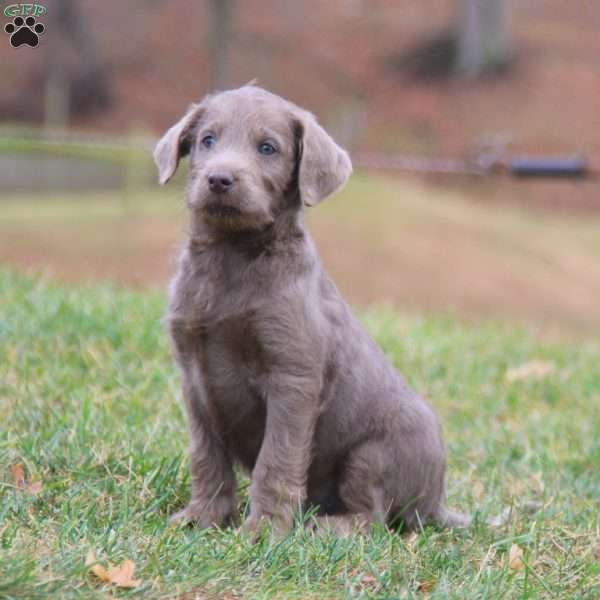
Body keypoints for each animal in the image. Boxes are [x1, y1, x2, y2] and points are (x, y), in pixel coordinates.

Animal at [152, 83, 472, 536]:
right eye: (207, 140)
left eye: (268, 148)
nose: (219, 178)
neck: (232, 256)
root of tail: (436, 502)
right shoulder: (194, 375)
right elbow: (206, 455)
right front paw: (203, 518)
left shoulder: (292, 378)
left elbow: (276, 460)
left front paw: (264, 530)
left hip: (373, 454)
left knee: (373, 519)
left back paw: (326, 526)